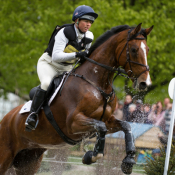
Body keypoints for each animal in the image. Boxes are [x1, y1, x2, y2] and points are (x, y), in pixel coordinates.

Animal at [0, 23, 153, 175]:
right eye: (134, 50)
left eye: (148, 50)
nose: (144, 83)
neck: (97, 84)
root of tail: (5, 118)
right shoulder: (73, 123)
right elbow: (101, 127)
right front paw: (92, 155)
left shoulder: (108, 121)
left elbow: (126, 126)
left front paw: (129, 161)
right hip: (5, 157)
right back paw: (31, 120)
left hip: (29, 160)